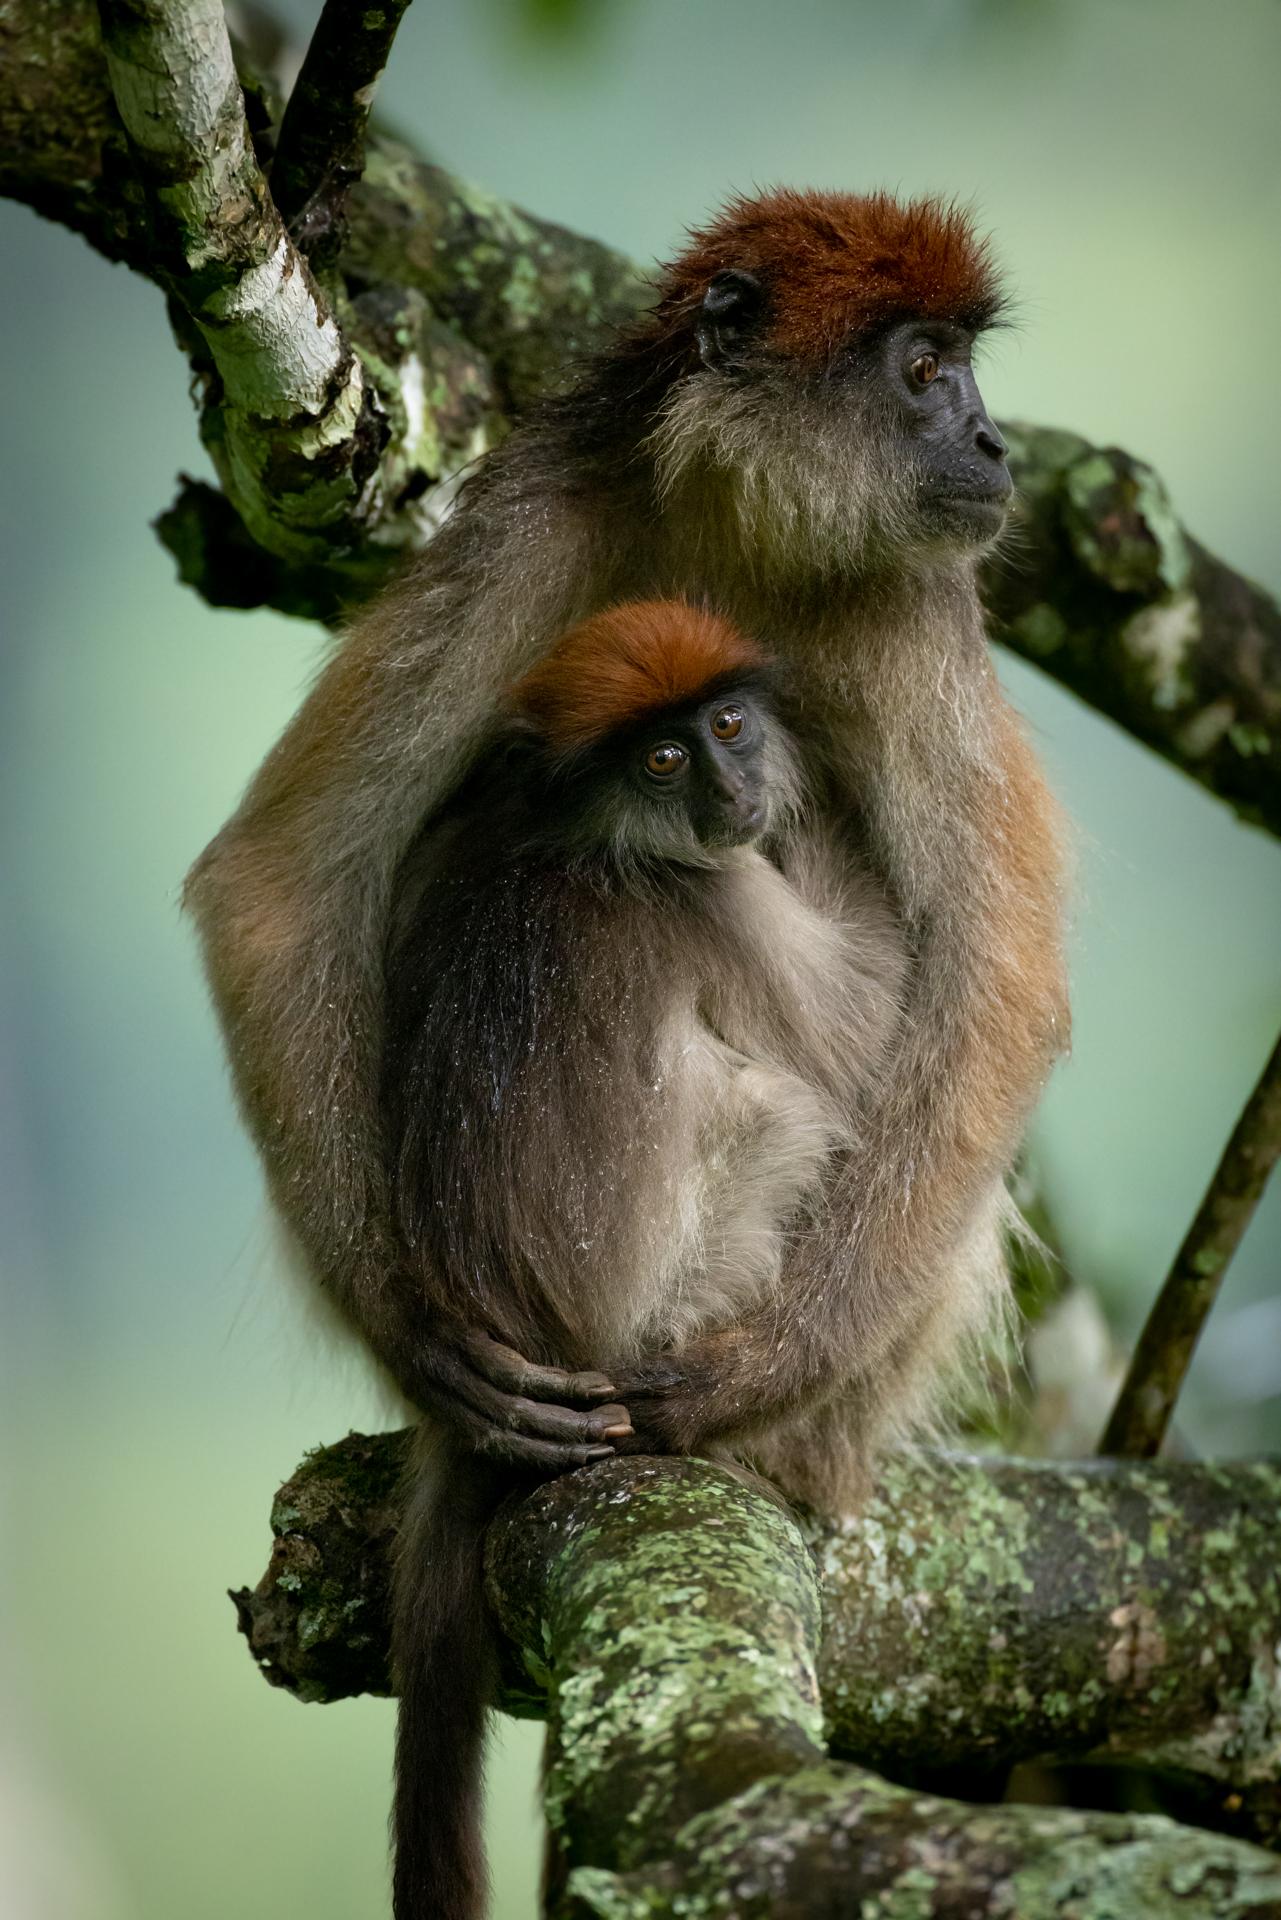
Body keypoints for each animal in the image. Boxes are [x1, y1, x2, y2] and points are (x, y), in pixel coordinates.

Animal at [384, 591, 910, 1912]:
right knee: (786, 1101)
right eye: (664, 760)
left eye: (724, 725)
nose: (736, 783)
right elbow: (865, 1017)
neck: (572, 831)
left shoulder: (458, 836)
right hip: (679, 1293)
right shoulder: (713, 899)